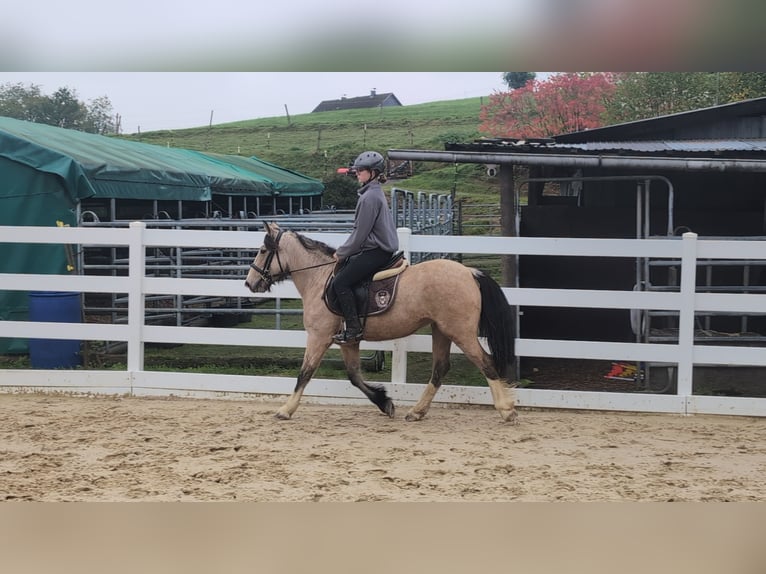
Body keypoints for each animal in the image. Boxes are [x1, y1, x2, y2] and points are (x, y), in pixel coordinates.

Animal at [244, 222, 518, 423]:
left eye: (262, 250)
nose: (250, 283)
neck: (319, 277)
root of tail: (470, 272)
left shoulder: (319, 336)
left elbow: (305, 373)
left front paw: (286, 409)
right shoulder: (348, 341)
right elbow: (354, 376)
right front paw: (385, 403)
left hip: (460, 332)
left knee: (486, 362)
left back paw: (506, 409)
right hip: (441, 330)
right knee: (440, 369)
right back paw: (416, 412)